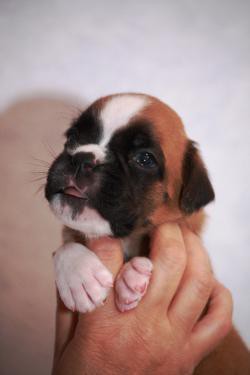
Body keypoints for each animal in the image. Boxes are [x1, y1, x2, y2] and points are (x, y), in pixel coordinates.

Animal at [44, 94, 213, 314]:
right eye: (72, 137)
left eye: (144, 158)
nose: (82, 158)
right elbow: (65, 247)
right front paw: (79, 273)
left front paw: (133, 273)